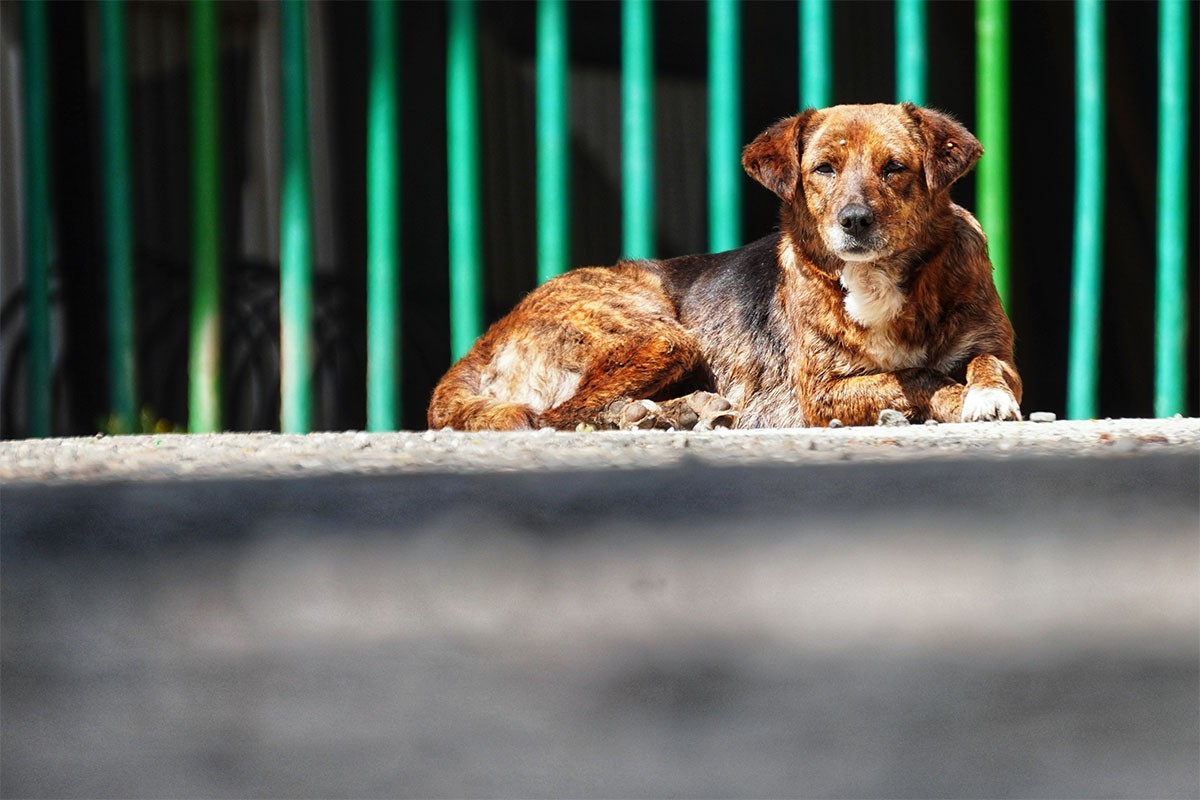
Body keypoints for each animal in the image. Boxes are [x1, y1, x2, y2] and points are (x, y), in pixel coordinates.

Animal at [429, 106, 1022, 434]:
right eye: (823, 170)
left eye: (894, 168)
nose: (854, 220)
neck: (880, 279)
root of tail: (486, 340)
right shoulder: (824, 391)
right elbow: (921, 375)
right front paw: (960, 399)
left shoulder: (995, 349)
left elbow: (984, 366)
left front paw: (987, 395)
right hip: (663, 337)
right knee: (559, 415)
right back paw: (666, 413)